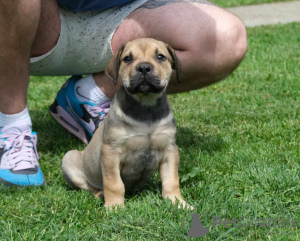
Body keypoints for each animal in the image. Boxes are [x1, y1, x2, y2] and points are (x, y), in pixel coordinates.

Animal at [61, 38, 192, 209]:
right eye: (128, 58)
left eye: (160, 57)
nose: (144, 68)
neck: (145, 106)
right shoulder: (111, 152)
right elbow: (114, 184)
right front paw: (114, 207)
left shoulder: (169, 150)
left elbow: (171, 181)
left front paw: (178, 203)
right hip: (69, 158)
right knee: (88, 186)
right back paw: (100, 194)